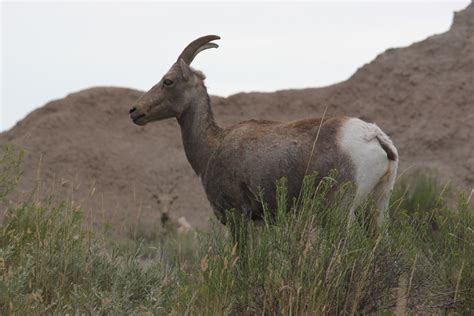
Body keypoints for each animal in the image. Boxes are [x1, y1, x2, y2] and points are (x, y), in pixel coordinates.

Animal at [129, 35, 396, 232]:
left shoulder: (238, 217)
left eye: (168, 81)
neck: (213, 147)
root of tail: (374, 136)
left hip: (340, 211)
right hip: (377, 207)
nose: (135, 111)